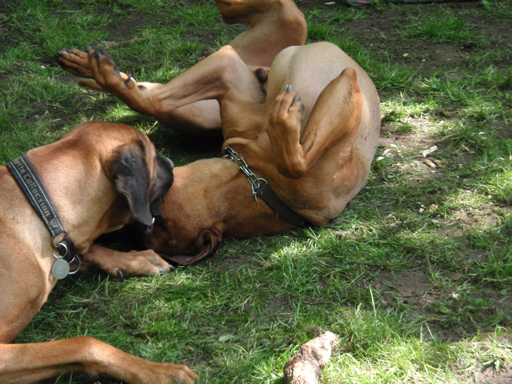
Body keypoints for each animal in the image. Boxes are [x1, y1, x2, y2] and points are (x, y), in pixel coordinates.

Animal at [0, 121, 198, 382]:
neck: (41, 210)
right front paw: (157, 370)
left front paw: (136, 259)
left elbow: (85, 251)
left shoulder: (67, 248)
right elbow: (84, 343)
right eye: (154, 157)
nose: (171, 162)